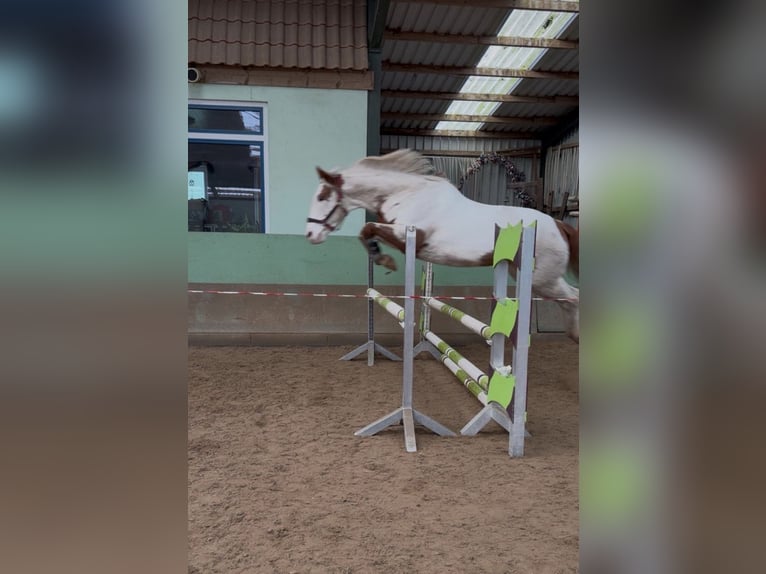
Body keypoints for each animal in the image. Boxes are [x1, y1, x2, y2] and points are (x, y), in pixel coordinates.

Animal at [305, 149, 579, 342]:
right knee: (570, 299)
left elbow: (370, 228)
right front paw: (378, 254)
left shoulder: (410, 236)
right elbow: (367, 232)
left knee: (573, 298)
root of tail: (558, 224)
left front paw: (385, 260)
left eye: (322, 196)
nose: (311, 234)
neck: (407, 194)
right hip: (525, 274)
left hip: (543, 279)